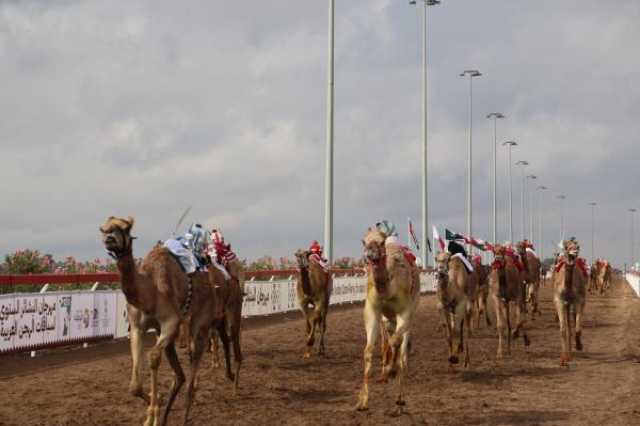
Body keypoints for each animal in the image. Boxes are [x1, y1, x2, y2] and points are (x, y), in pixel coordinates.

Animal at [100, 216, 219, 426]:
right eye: (103, 229)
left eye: (125, 228)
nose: (110, 239)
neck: (150, 291)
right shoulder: (137, 327)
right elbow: (134, 387)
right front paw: (155, 409)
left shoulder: (171, 323)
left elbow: (153, 357)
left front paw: (152, 414)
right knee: (180, 375)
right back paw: (164, 417)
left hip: (201, 319)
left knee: (195, 354)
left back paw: (186, 411)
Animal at [356, 228, 420, 412]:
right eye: (364, 241)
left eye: (382, 241)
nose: (369, 254)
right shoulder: (372, 310)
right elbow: (368, 351)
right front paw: (362, 401)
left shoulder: (405, 311)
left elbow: (395, 342)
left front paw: (391, 371)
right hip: (388, 318)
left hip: (412, 308)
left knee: (402, 346)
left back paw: (399, 394)